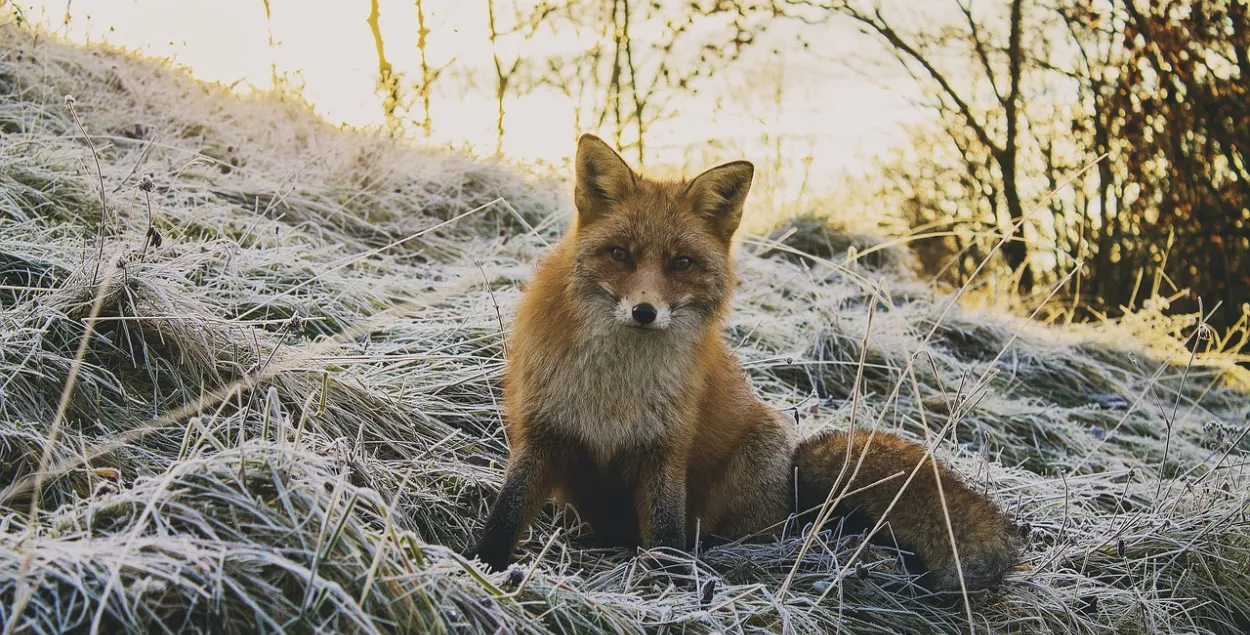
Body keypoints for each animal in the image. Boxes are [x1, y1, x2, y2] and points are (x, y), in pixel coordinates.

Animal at [472, 132, 1020, 590]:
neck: (615, 385)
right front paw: (482, 567)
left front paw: (671, 584)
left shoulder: (665, 449)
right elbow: (506, 512)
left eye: (682, 263)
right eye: (620, 254)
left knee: (719, 535)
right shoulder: (542, 432)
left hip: (756, 459)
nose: (645, 312)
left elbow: (666, 534)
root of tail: (794, 495)